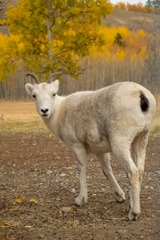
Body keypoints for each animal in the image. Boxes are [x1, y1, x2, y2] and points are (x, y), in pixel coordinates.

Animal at [25, 73, 156, 221]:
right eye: (34, 95)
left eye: (53, 93)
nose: (44, 111)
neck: (60, 112)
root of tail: (141, 95)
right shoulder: (100, 150)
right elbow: (106, 170)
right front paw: (120, 197)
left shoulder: (77, 145)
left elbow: (81, 169)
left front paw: (80, 200)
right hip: (141, 140)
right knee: (140, 171)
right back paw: (130, 207)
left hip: (120, 143)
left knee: (133, 172)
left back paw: (133, 213)